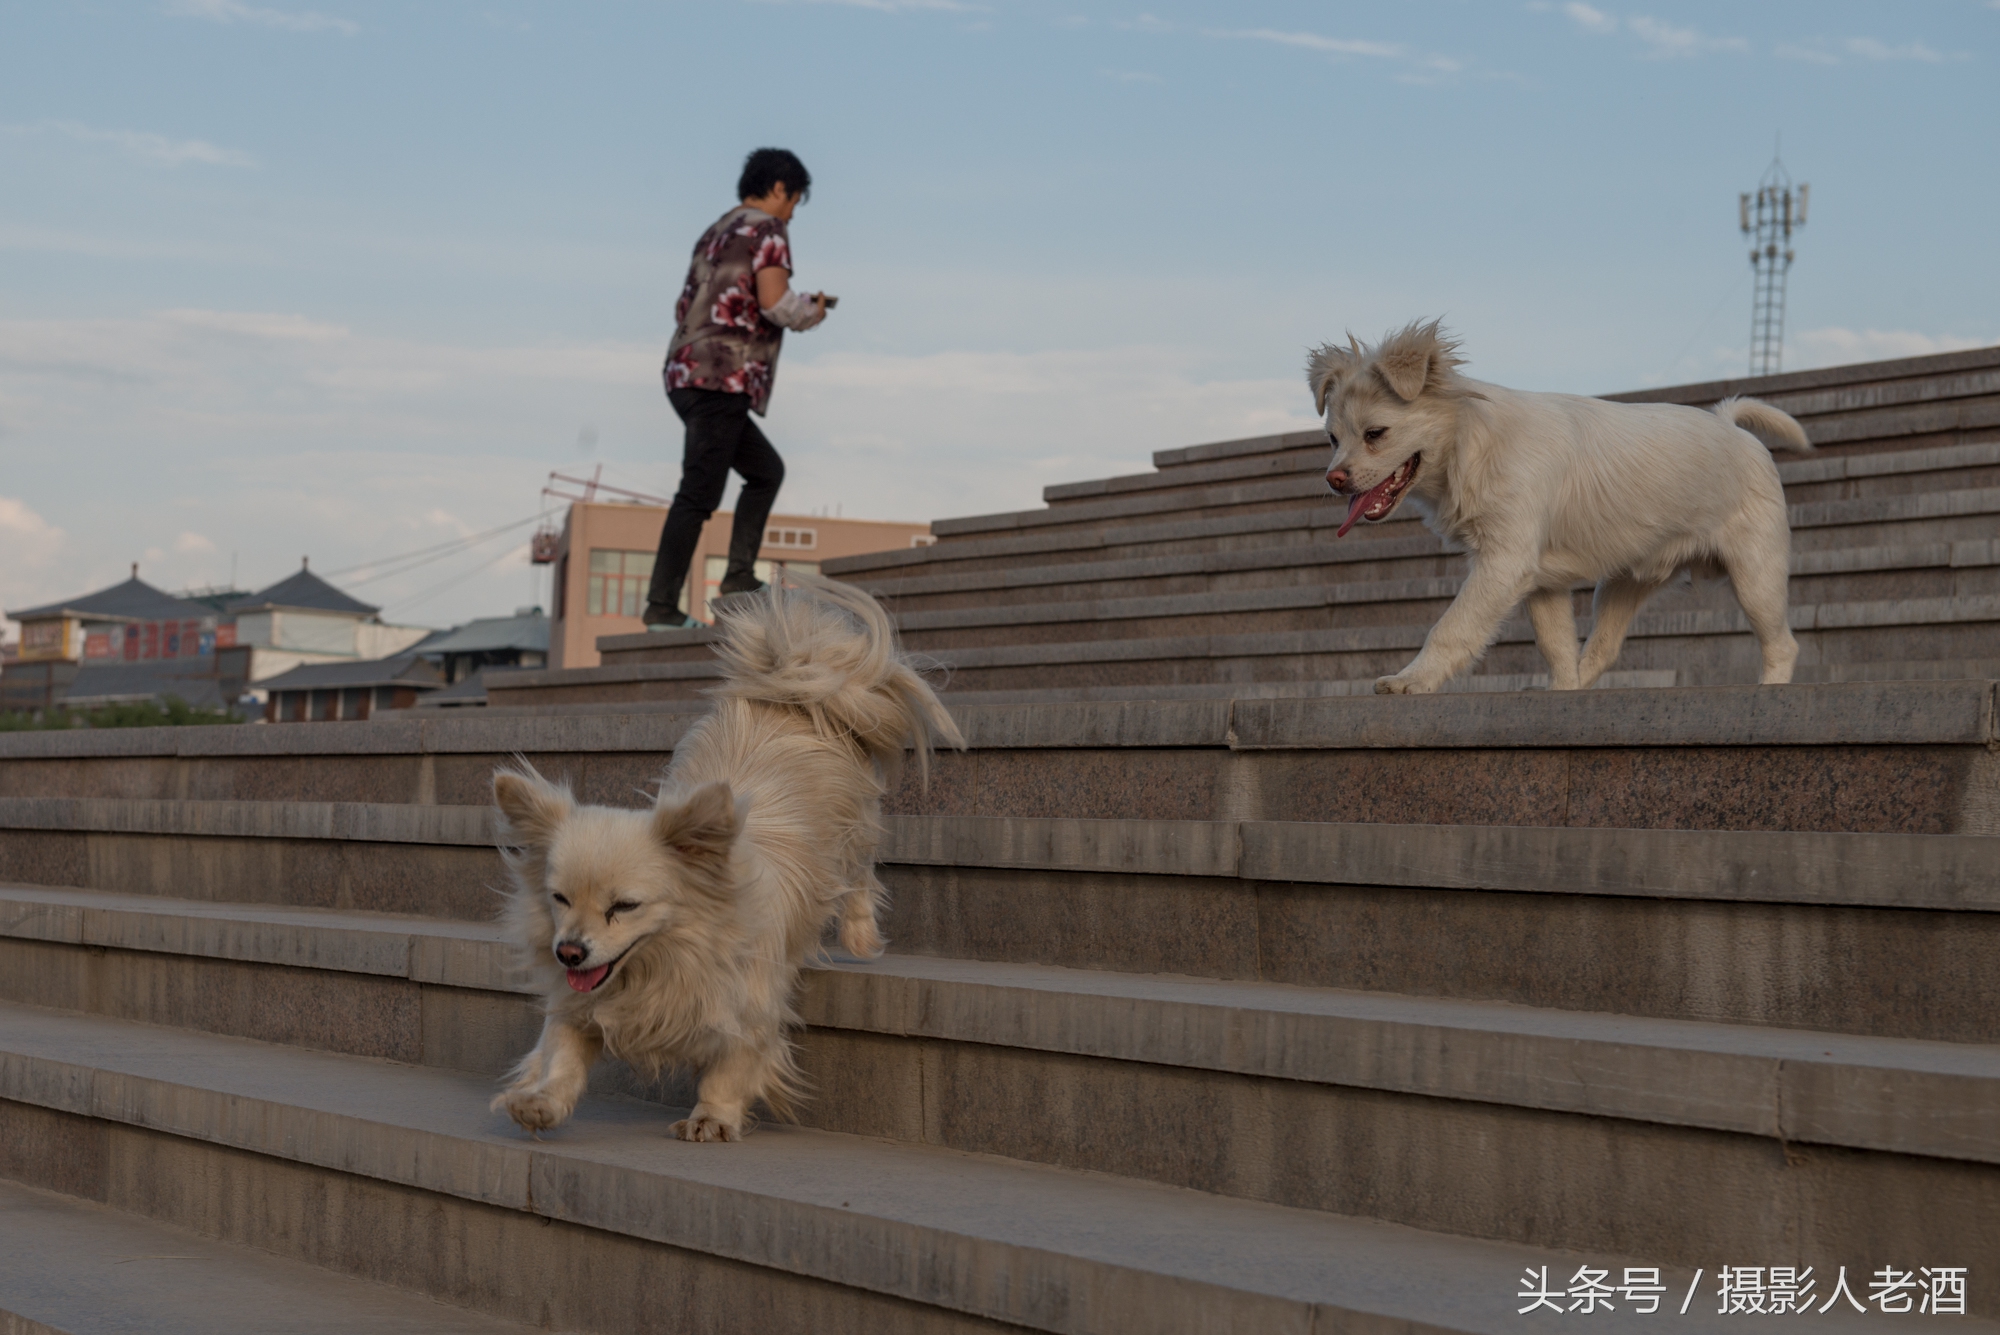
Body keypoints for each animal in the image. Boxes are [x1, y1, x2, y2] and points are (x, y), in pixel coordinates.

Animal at [482, 567, 952, 1143]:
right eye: (559, 900)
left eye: (625, 907)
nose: (568, 951)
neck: (661, 964)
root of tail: (794, 691)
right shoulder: (578, 1005)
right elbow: (561, 1055)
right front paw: (539, 1103)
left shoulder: (750, 1008)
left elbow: (732, 1066)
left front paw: (711, 1118)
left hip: (854, 829)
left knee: (860, 875)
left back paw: (861, 935)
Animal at [1304, 319, 1824, 699]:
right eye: (1332, 439)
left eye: (1376, 434)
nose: (1333, 479)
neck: (1471, 443)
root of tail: (1731, 425)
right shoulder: (1541, 582)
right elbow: (1556, 646)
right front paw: (1560, 690)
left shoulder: (1504, 563)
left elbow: (1452, 627)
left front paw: (1412, 679)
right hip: (1622, 584)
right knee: (1601, 649)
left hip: (1756, 575)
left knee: (1783, 643)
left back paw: (1771, 689)